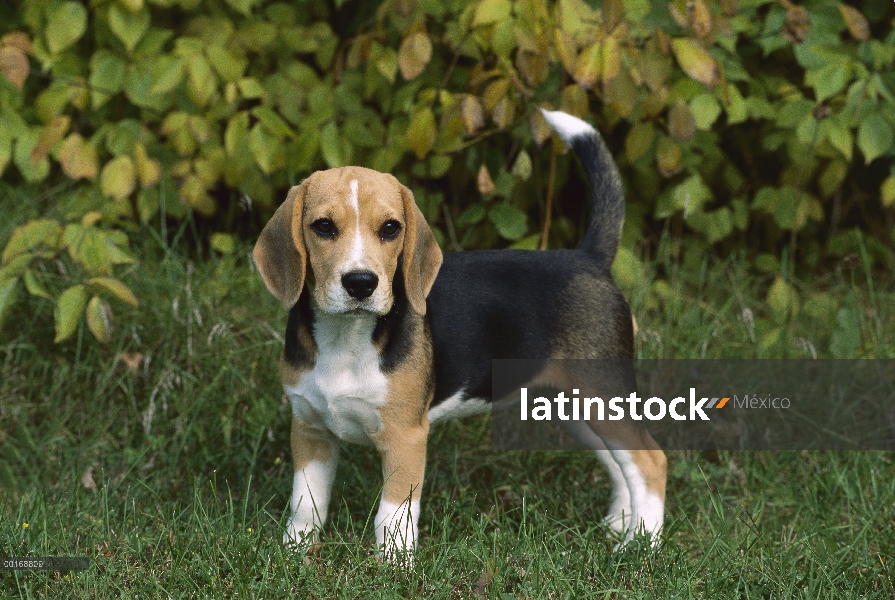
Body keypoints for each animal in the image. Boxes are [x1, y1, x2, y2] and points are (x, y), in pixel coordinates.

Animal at [252, 110, 664, 560]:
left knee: (650, 461)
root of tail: (589, 259)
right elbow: (306, 503)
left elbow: (392, 515)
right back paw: (621, 525)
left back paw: (641, 545)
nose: (361, 283)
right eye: (323, 227)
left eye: (391, 228)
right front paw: (294, 553)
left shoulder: (406, 438)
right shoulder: (310, 429)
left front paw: (394, 566)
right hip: (574, 408)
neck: (347, 338)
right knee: (622, 464)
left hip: (601, 397)